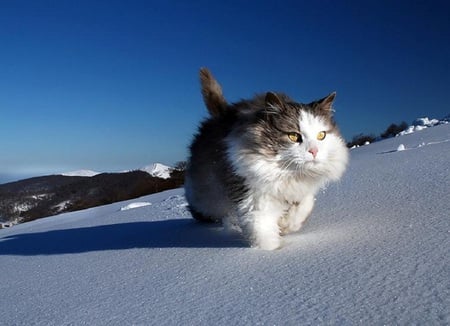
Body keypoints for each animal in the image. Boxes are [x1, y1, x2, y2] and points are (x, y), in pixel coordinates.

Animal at [185, 67, 350, 248]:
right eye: (293, 136)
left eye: (321, 135)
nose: (314, 151)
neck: (289, 174)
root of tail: (222, 114)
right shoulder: (253, 198)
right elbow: (263, 234)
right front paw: (270, 251)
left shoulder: (300, 191)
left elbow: (304, 207)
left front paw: (286, 225)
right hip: (208, 197)